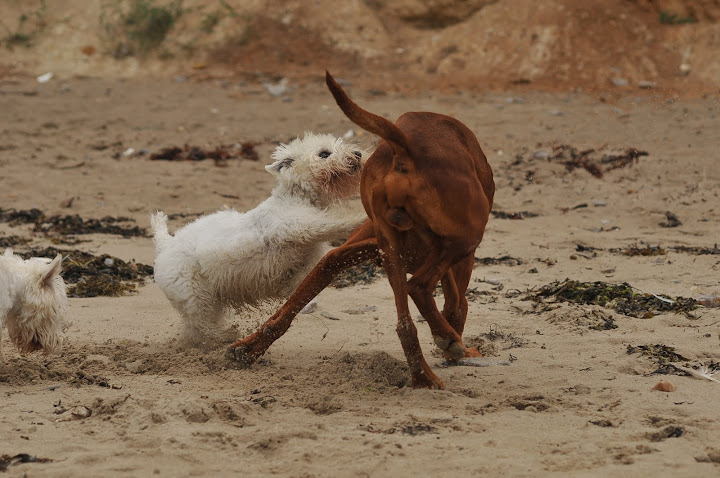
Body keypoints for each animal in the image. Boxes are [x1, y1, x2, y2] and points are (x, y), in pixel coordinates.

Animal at [151, 133, 366, 342]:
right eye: (324, 154)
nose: (358, 154)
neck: (297, 197)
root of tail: (166, 244)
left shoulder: (303, 263)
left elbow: (301, 286)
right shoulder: (302, 225)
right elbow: (338, 221)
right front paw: (363, 218)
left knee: (195, 328)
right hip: (195, 295)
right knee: (203, 324)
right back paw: (225, 337)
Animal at [231, 73, 496, 390]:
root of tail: (404, 147)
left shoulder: (345, 255)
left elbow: (290, 305)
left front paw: (249, 347)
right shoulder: (456, 260)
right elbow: (458, 303)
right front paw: (454, 342)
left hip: (392, 249)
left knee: (405, 324)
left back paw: (423, 377)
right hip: (467, 236)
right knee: (419, 287)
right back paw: (444, 346)